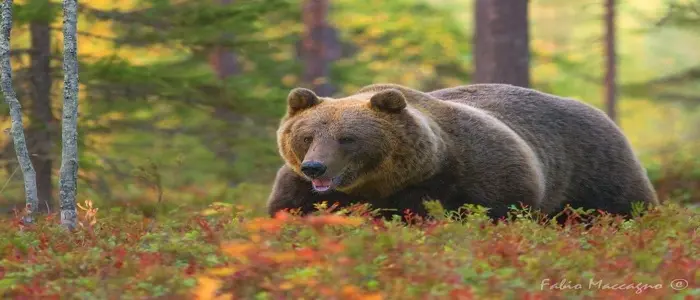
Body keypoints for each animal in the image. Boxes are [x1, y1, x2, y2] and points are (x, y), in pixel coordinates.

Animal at [266, 82, 660, 220]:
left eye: (347, 138)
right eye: (306, 136)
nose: (316, 167)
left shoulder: (476, 171)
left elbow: (495, 210)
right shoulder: (301, 188)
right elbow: (291, 211)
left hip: (596, 171)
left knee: (624, 206)